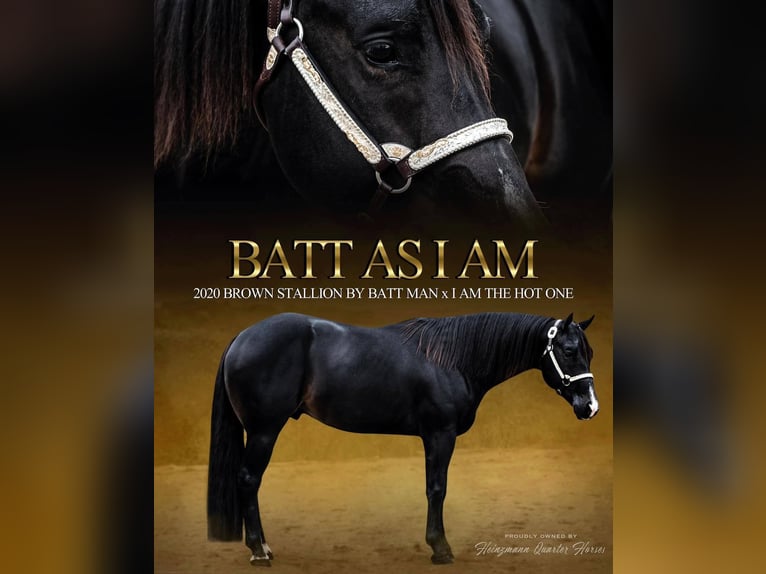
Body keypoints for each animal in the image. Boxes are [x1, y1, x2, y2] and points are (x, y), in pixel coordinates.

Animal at [207, 311, 598, 565]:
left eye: (589, 352)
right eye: (568, 351)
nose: (590, 406)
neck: (452, 358)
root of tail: (241, 337)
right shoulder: (440, 434)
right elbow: (437, 488)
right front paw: (440, 549)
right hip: (263, 431)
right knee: (248, 480)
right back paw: (259, 551)